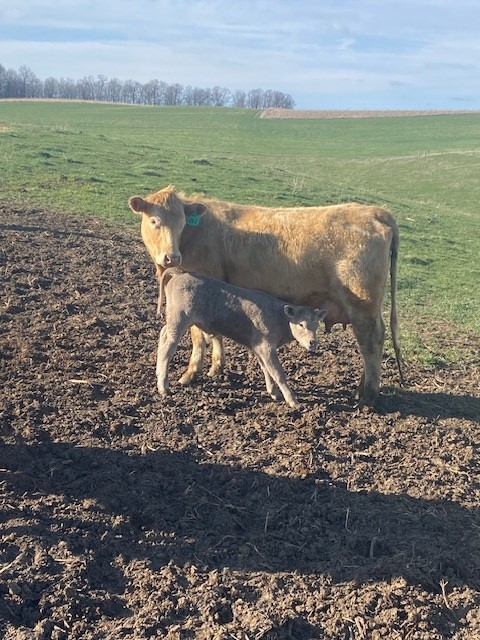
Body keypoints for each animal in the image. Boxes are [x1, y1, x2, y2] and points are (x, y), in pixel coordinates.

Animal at [156, 267, 327, 408]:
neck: (279, 317)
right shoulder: (266, 346)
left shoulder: (258, 348)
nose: (313, 342)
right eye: (301, 324)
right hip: (179, 318)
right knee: (168, 346)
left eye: (316, 324)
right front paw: (292, 401)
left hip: (174, 319)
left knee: (163, 334)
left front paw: (274, 393)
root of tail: (181, 273)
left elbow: (266, 369)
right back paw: (163, 386)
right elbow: (278, 373)